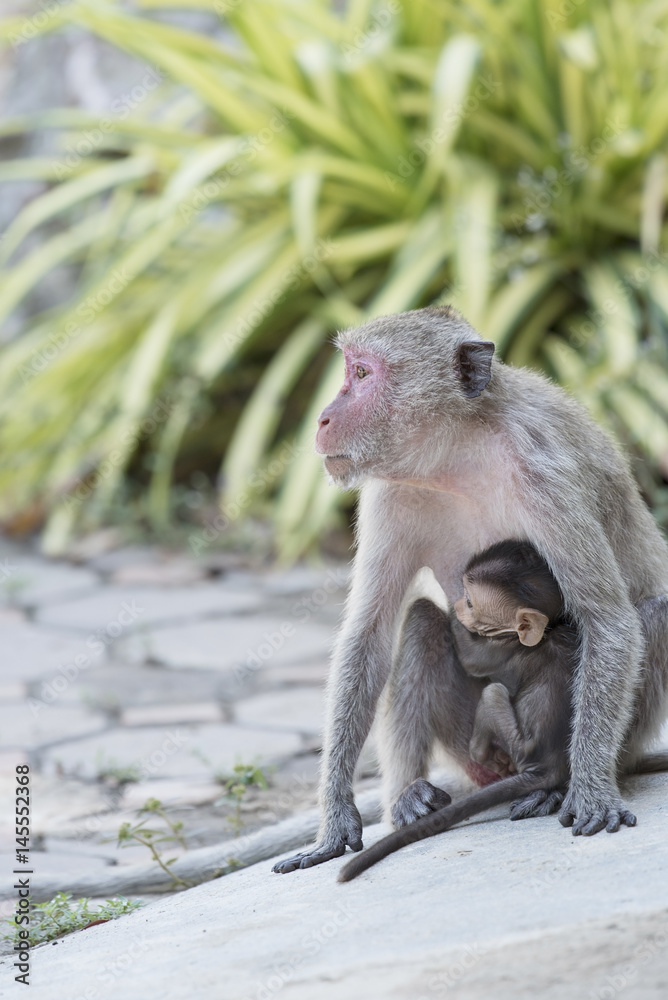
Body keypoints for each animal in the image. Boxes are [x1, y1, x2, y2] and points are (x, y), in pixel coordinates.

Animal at [272, 306, 668, 875]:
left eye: (362, 375)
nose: (322, 418)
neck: (461, 454)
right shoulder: (390, 493)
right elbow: (368, 634)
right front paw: (335, 816)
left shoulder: (547, 473)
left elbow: (607, 620)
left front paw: (591, 790)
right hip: (466, 743)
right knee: (419, 622)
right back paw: (411, 796)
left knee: (653, 614)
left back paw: (556, 781)